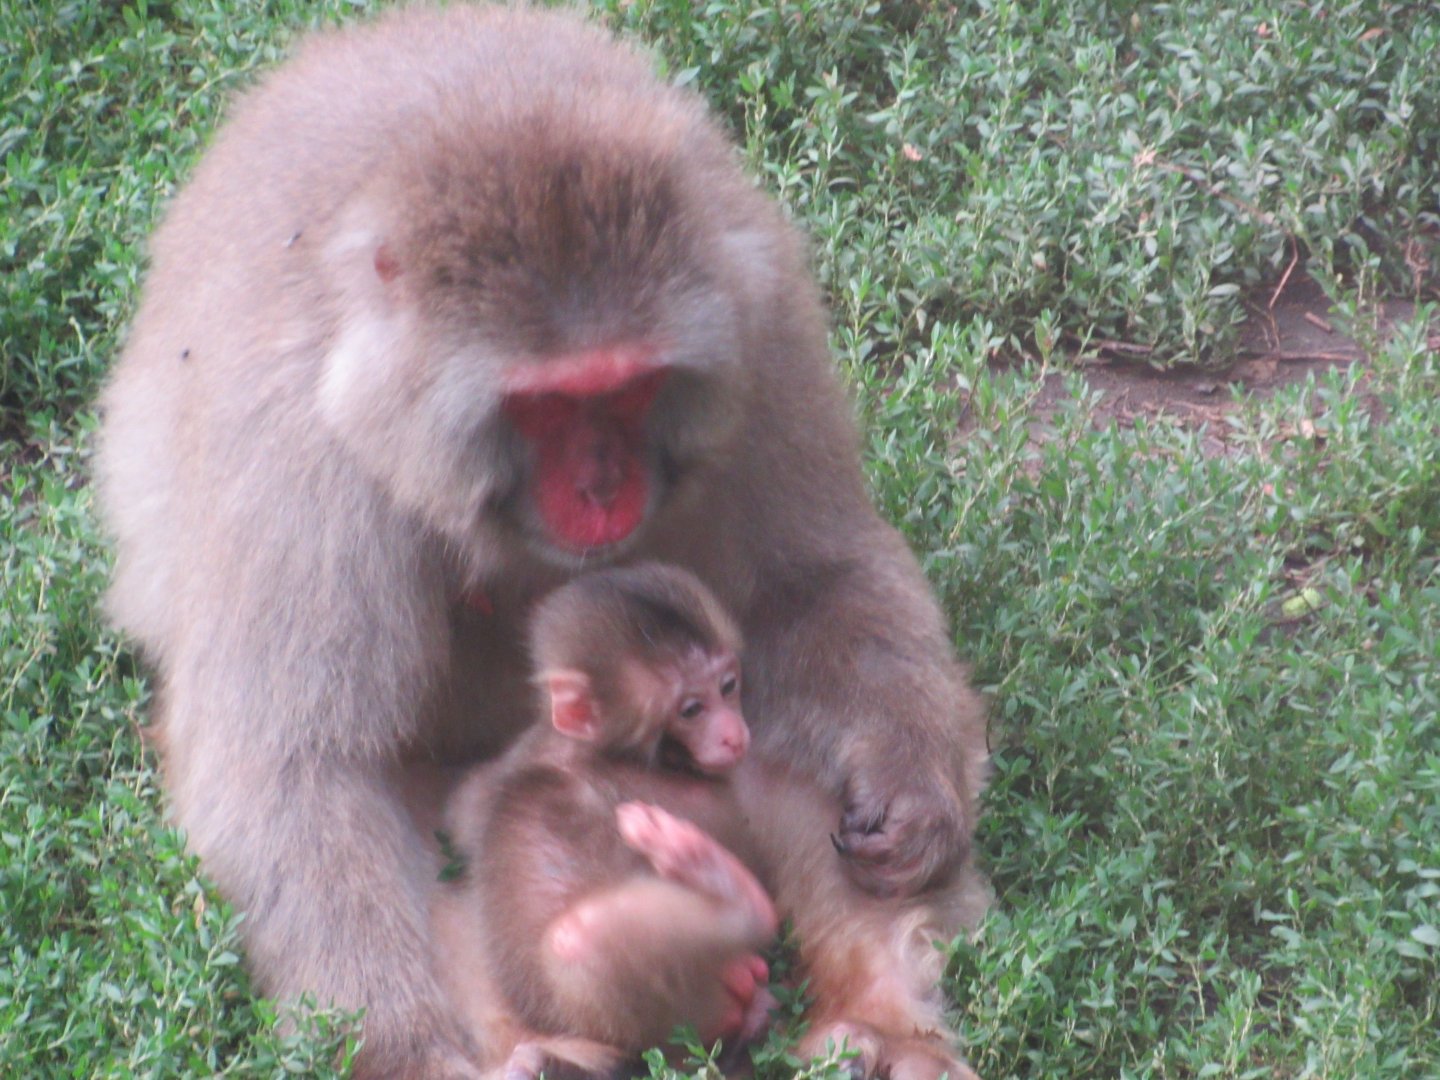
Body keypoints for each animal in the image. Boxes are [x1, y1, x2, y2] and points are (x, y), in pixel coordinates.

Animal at [432, 564, 779, 1078]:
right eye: (691, 709)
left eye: (727, 686)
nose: (733, 736)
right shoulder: (684, 794)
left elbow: (465, 808)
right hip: (668, 1014)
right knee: (578, 942)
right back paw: (729, 889)